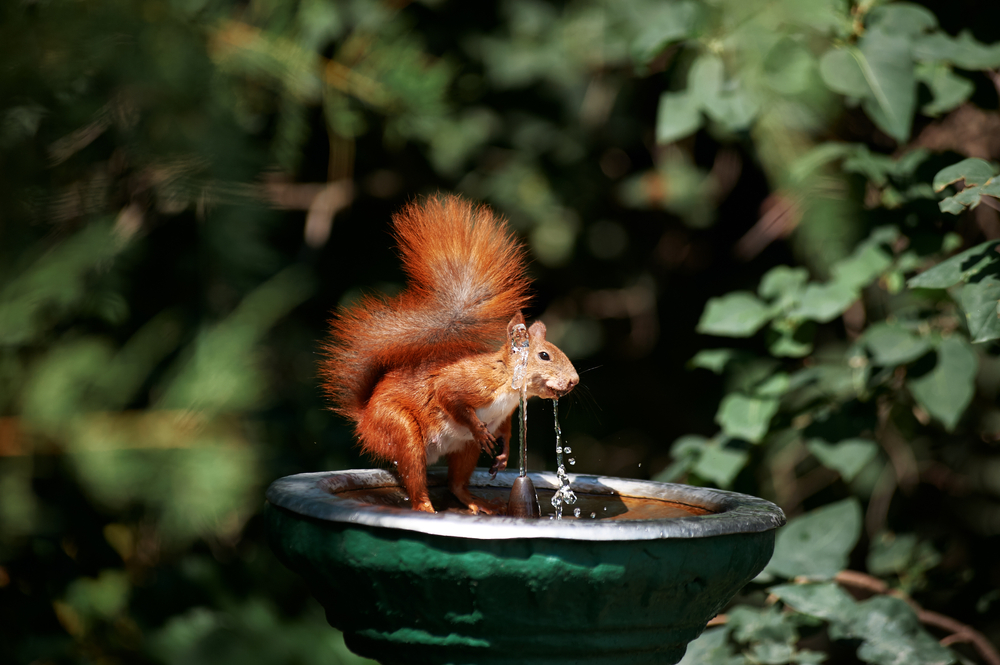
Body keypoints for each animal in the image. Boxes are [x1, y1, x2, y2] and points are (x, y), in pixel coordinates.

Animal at [320, 195, 579, 514]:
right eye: (544, 356)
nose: (574, 381)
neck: (506, 382)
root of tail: (364, 418)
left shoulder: (505, 414)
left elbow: (506, 431)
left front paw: (504, 454)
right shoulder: (468, 382)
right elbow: (449, 395)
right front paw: (479, 428)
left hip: (463, 449)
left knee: (455, 483)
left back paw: (476, 502)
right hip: (399, 430)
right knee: (415, 478)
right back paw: (426, 508)